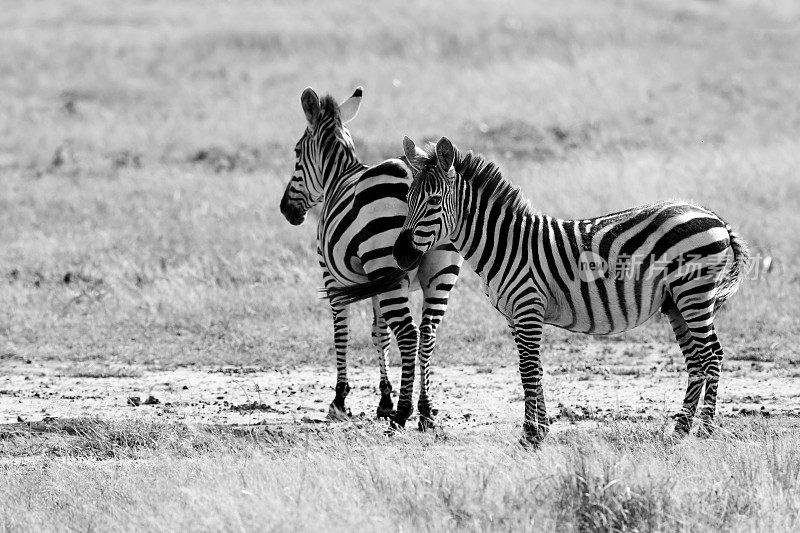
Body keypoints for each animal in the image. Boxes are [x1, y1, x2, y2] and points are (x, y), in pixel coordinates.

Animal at [280, 88, 462, 428]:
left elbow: (341, 334)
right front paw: (384, 400)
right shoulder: (376, 282)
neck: (339, 176)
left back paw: (405, 412)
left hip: (386, 266)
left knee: (409, 334)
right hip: (437, 274)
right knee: (427, 333)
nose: (287, 210)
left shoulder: (331, 278)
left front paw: (340, 401)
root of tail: (410, 176)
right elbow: (379, 334)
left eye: (297, 152)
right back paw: (426, 410)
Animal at [332, 136, 752, 444]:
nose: (400, 254)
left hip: (694, 294)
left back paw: (706, 430)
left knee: (711, 355)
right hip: (676, 302)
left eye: (434, 201)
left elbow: (529, 369)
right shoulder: (515, 316)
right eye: (407, 200)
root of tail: (713, 217)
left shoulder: (528, 307)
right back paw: (681, 428)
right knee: (696, 359)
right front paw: (539, 428)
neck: (503, 244)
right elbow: (529, 369)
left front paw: (532, 434)